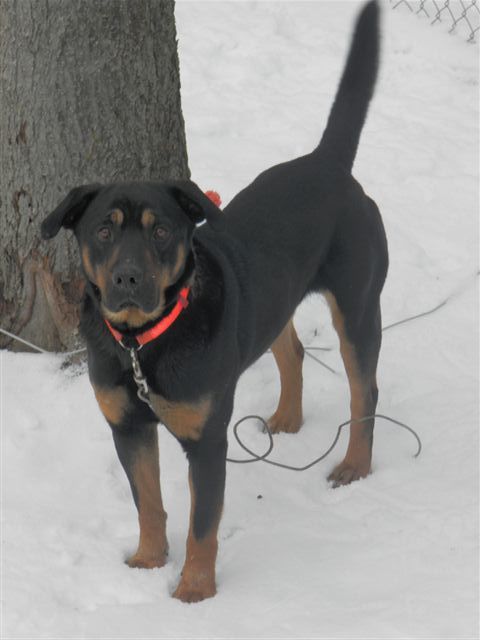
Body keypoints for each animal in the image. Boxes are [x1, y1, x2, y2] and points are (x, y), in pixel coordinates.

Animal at [40, 1, 386, 600]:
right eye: (103, 231)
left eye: (161, 231)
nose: (128, 278)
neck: (143, 343)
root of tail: (328, 164)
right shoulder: (127, 427)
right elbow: (149, 504)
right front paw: (148, 561)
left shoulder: (205, 440)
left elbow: (203, 522)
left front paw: (194, 592)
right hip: (274, 301)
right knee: (290, 349)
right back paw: (288, 418)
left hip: (359, 306)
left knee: (364, 391)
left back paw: (354, 466)